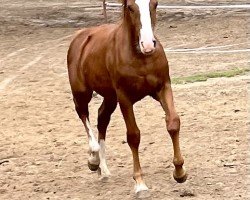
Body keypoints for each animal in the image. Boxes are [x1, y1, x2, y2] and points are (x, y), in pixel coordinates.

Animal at [67, 0, 187, 197]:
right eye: (130, 7)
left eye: (155, 4)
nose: (148, 44)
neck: (141, 58)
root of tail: (80, 37)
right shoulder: (125, 98)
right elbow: (133, 136)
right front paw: (140, 184)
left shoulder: (163, 87)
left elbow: (173, 123)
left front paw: (179, 172)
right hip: (82, 92)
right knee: (83, 114)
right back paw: (93, 159)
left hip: (110, 97)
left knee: (102, 119)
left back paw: (103, 170)